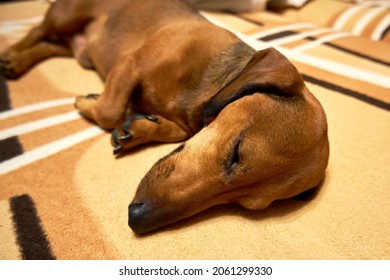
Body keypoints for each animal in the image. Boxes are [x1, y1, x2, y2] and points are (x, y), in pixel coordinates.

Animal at [0, 0, 330, 234]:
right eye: (236, 152)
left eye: (244, 203)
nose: (137, 219)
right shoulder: (131, 64)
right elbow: (109, 111)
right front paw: (89, 103)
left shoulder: (183, 122)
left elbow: (168, 130)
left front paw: (137, 129)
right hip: (66, 15)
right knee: (37, 31)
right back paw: (13, 56)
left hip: (77, 47)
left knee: (49, 44)